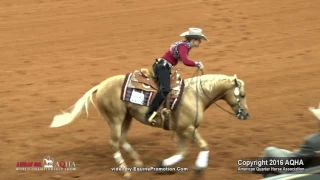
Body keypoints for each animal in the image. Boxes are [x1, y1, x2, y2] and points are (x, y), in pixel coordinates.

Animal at [50, 69, 250, 179]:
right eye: (242, 95)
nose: (246, 114)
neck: (195, 95)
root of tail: (100, 86)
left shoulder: (181, 130)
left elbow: (182, 152)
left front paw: (162, 164)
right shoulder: (188, 129)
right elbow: (204, 146)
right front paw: (200, 169)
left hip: (126, 118)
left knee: (122, 140)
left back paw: (138, 162)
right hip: (115, 119)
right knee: (114, 143)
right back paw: (126, 172)